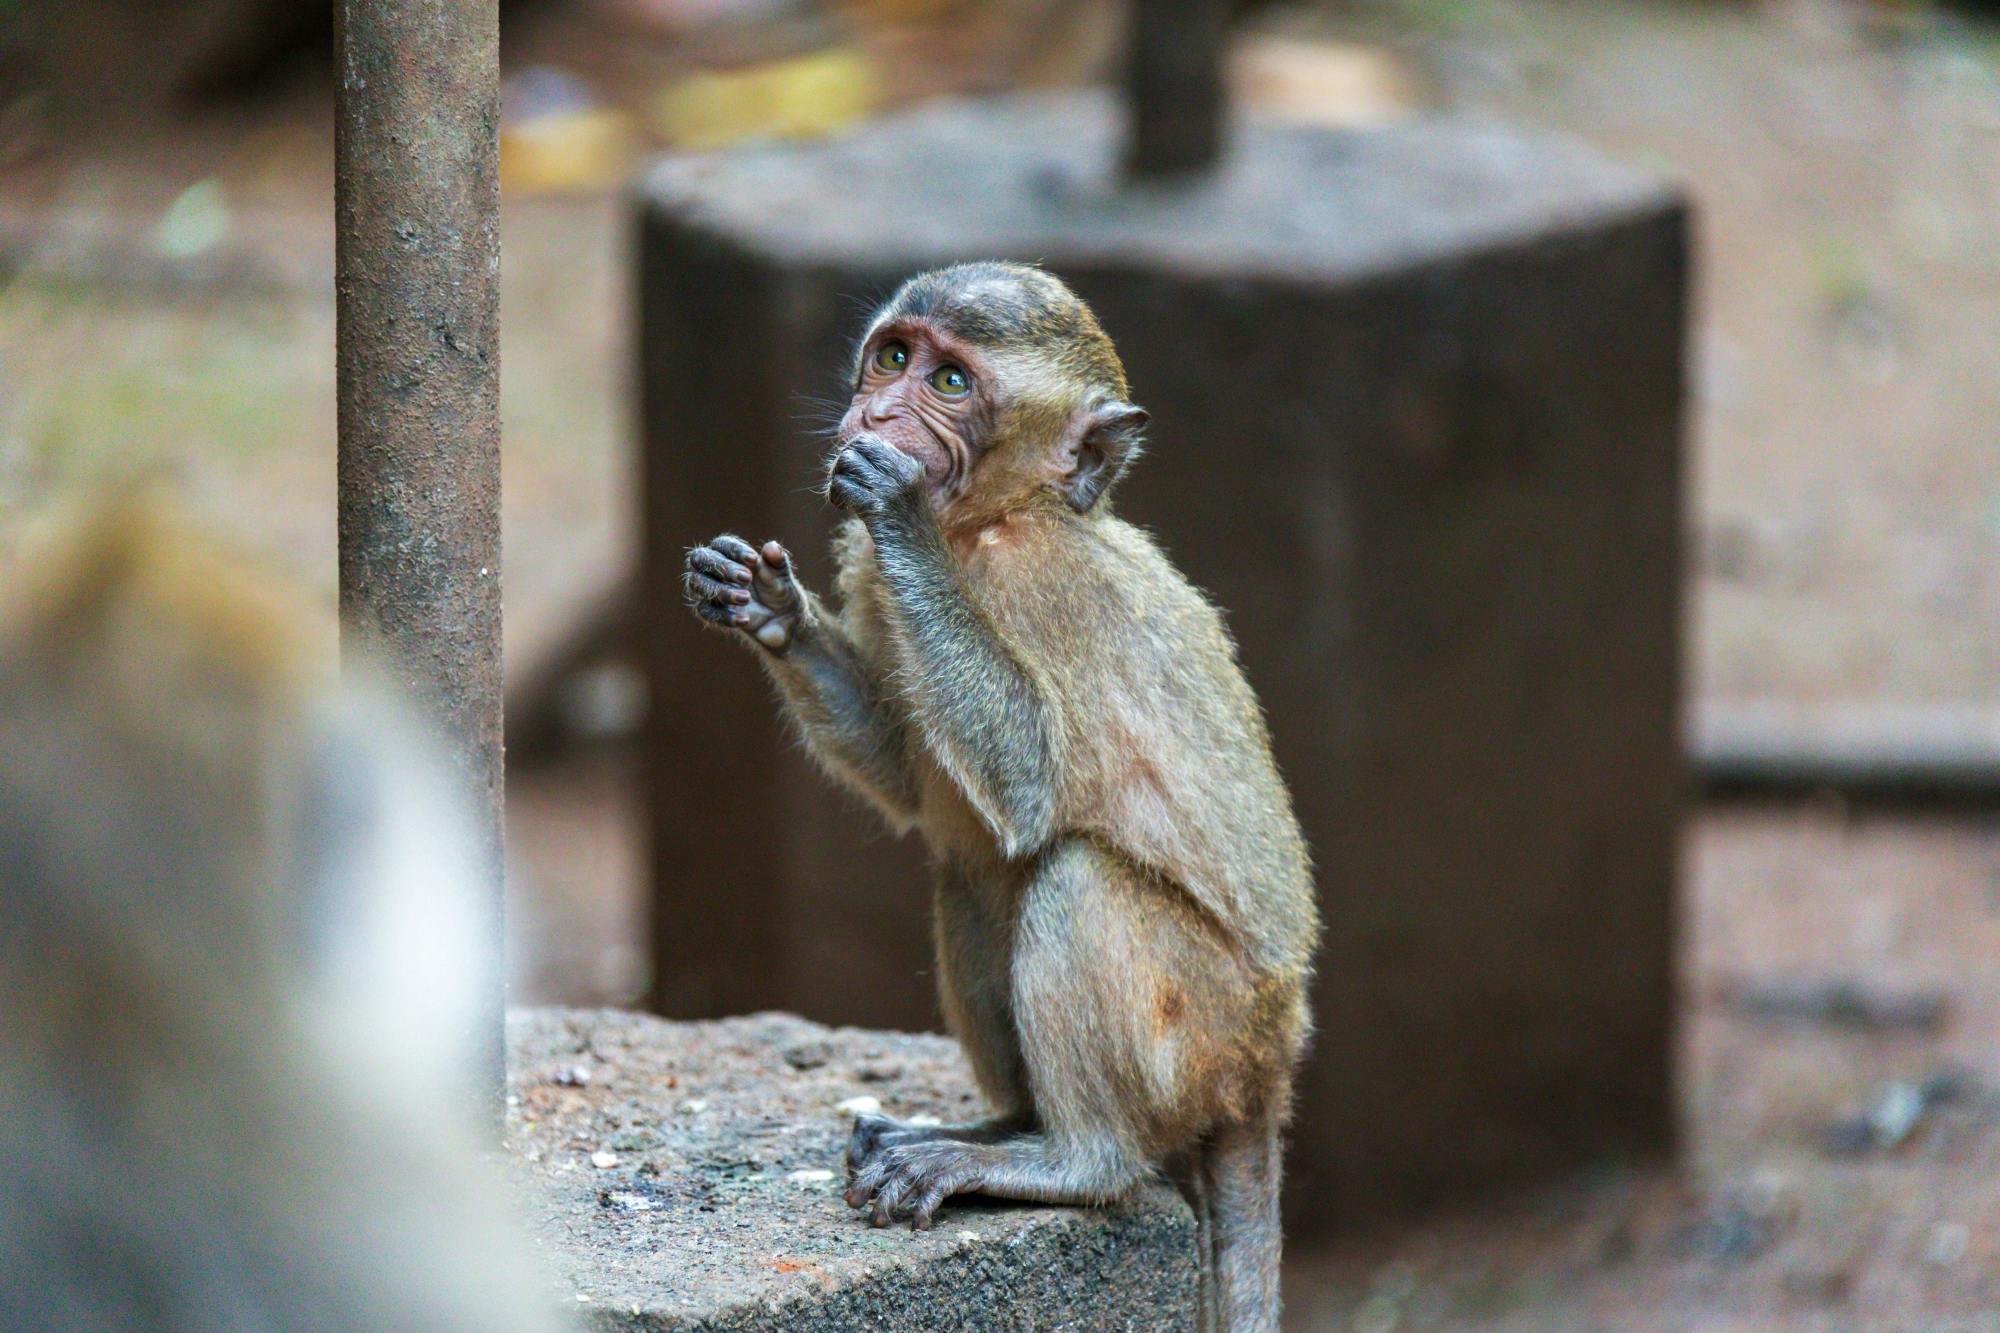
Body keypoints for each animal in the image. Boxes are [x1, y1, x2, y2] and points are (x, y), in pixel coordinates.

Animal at [680, 262, 1320, 1328]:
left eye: (949, 383)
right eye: (894, 356)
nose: (878, 412)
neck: (985, 525)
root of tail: (1271, 1061)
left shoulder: (1055, 588)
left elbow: (1027, 783)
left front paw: (896, 510)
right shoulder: (875, 573)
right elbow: (908, 774)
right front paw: (770, 606)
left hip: (1208, 1034)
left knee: (1073, 872)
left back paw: (1069, 1159)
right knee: (972, 874)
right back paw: (1003, 1125)